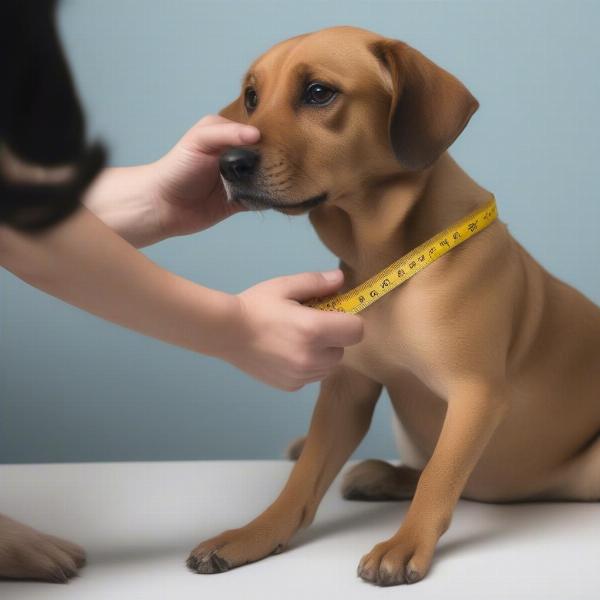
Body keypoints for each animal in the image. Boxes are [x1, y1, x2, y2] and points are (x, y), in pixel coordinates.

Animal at [188, 28, 600, 584]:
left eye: (318, 93)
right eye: (252, 97)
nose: (227, 163)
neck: (384, 258)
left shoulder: (476, 394)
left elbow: (441, 476)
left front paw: (405, 545)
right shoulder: (347, 392)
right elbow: (303, 478)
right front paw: (253, 534)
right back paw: (378, 474)